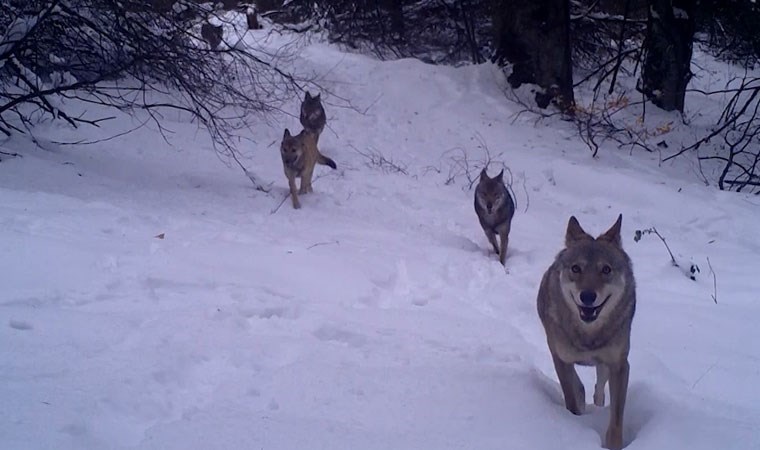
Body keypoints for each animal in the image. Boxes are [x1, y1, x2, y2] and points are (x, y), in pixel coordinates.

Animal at [536, 215, 640, 450]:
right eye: (576, 268)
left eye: (606, 270)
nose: (588, 296)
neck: (588, 336)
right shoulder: (560, 358)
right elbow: (571, 398)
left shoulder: (620, 365)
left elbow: (616, 419)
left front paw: (613, 445)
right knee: (580, 386)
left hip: (605, 367)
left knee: (599, 388)